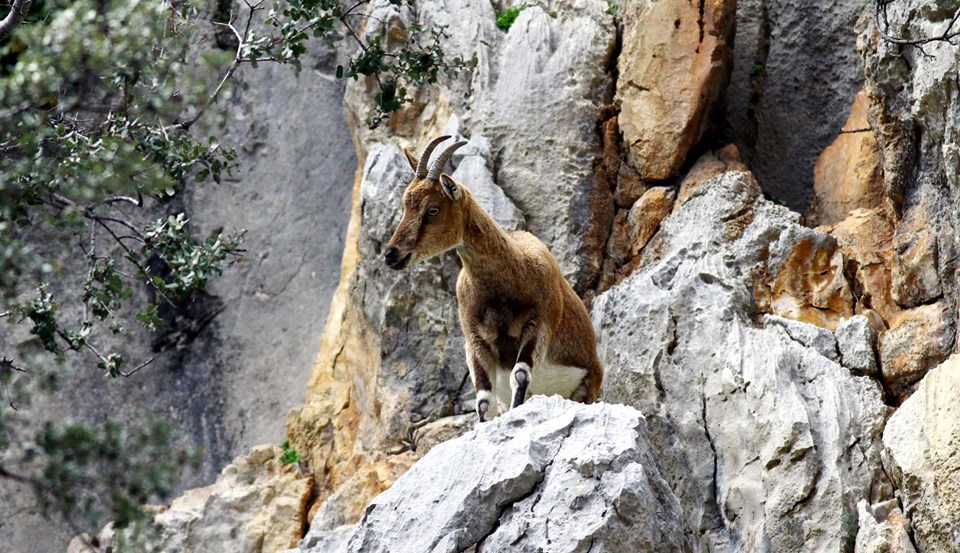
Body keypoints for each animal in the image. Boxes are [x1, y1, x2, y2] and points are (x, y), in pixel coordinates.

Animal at [380, 136, 600, 420]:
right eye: (405, 206)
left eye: (432, 210)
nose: (391, 254)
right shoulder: (475, 340)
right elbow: (484, 400)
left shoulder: (540, 323)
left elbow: (520, 375)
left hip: (589, 384)